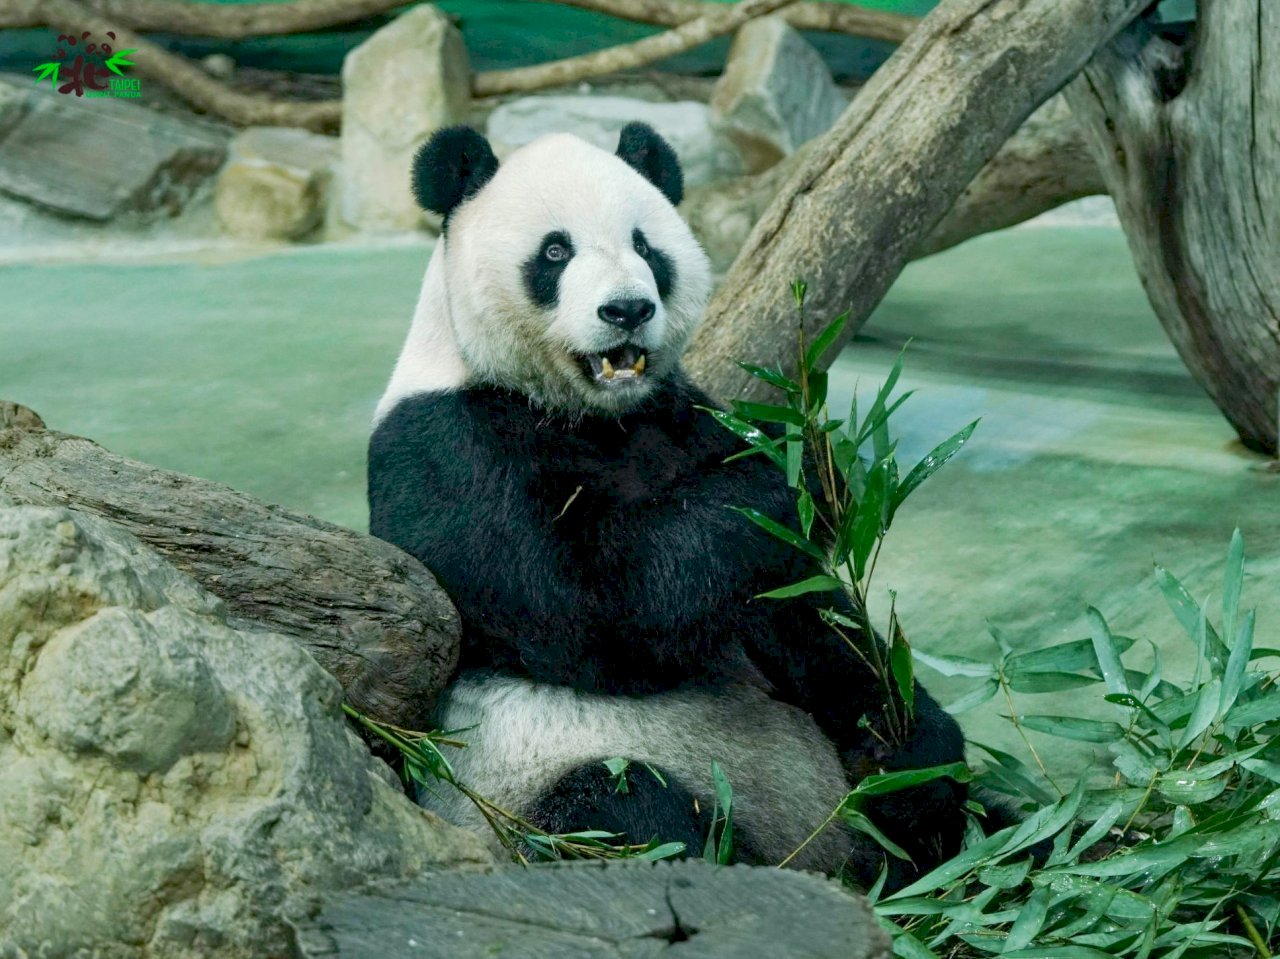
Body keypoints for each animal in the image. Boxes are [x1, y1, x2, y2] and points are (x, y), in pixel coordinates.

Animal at [368, 122, 973, 886]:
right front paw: (803, 468)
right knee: (622, 812)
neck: (593, 414)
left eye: (645, 247)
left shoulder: (680, 416)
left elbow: (806, 617)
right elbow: (596, 609)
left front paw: (913, 751)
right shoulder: (445, 448)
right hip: (522, 791)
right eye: (555, 251)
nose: (626, 309)